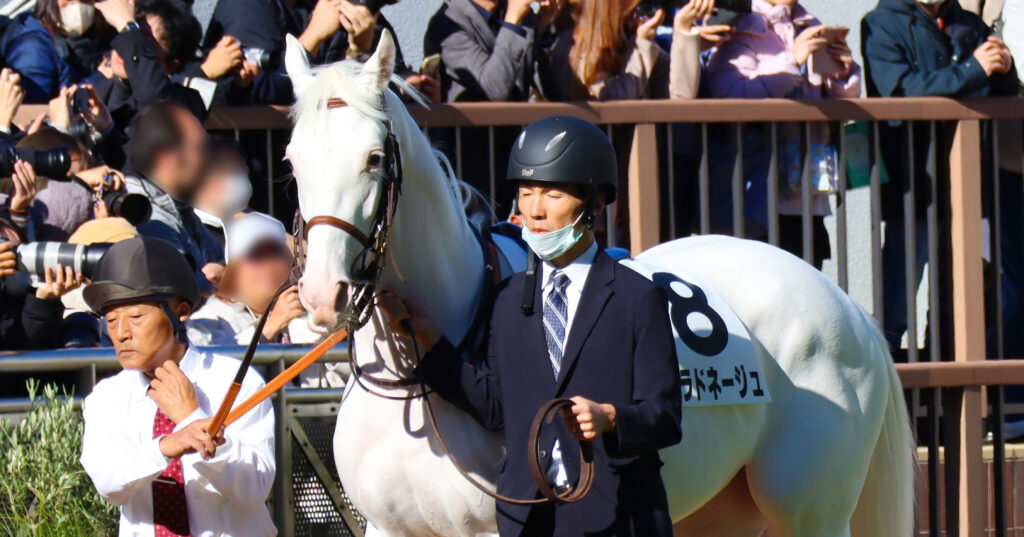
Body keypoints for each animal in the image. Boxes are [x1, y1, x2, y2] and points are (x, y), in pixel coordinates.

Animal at [283, 31, 915, 537]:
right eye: (292, 162)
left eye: (373, 158)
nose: (321, 295)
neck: (419, 389)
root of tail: (846, 307)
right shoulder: (389, 528)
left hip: (811, 510)